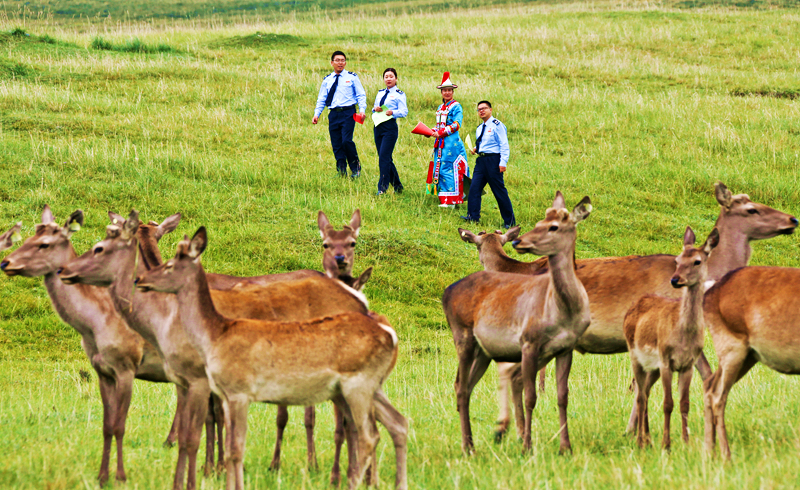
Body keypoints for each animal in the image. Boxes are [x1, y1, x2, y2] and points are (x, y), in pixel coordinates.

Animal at [0, 207, 178, 486]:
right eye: (26, 237)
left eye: (44, 244)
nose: (6, 262)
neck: (94, 326)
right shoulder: (102, 370)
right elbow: (106, 425)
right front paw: (102, 477)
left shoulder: (127, 366)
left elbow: (119, 425)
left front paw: (120, 476)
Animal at [135, 228, 410, 490]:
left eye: (170, 265)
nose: (139, 280)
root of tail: (363, 304)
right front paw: (213, 467)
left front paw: (213, 468)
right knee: (380, 423)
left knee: (356, 427)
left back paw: (349, 477)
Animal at [624, 226, 720, 448]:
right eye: (677, 260)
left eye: (697, 261)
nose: (675, 280)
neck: (683, 336)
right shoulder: (666, 360)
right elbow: (668, 403)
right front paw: (666, 445)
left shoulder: (687, 364)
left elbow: (684, 403)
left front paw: (685, 442)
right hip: (635, 355)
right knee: (640, 396)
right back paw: (641, 441)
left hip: (653, 367)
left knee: (645, 392)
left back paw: (647, 438)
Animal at [704, 264, 800, 460]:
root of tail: (709, 292)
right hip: (732, 344)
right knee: (717, 395)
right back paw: (726, 457)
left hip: (747, 355)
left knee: (708, 384)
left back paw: (709, 454)